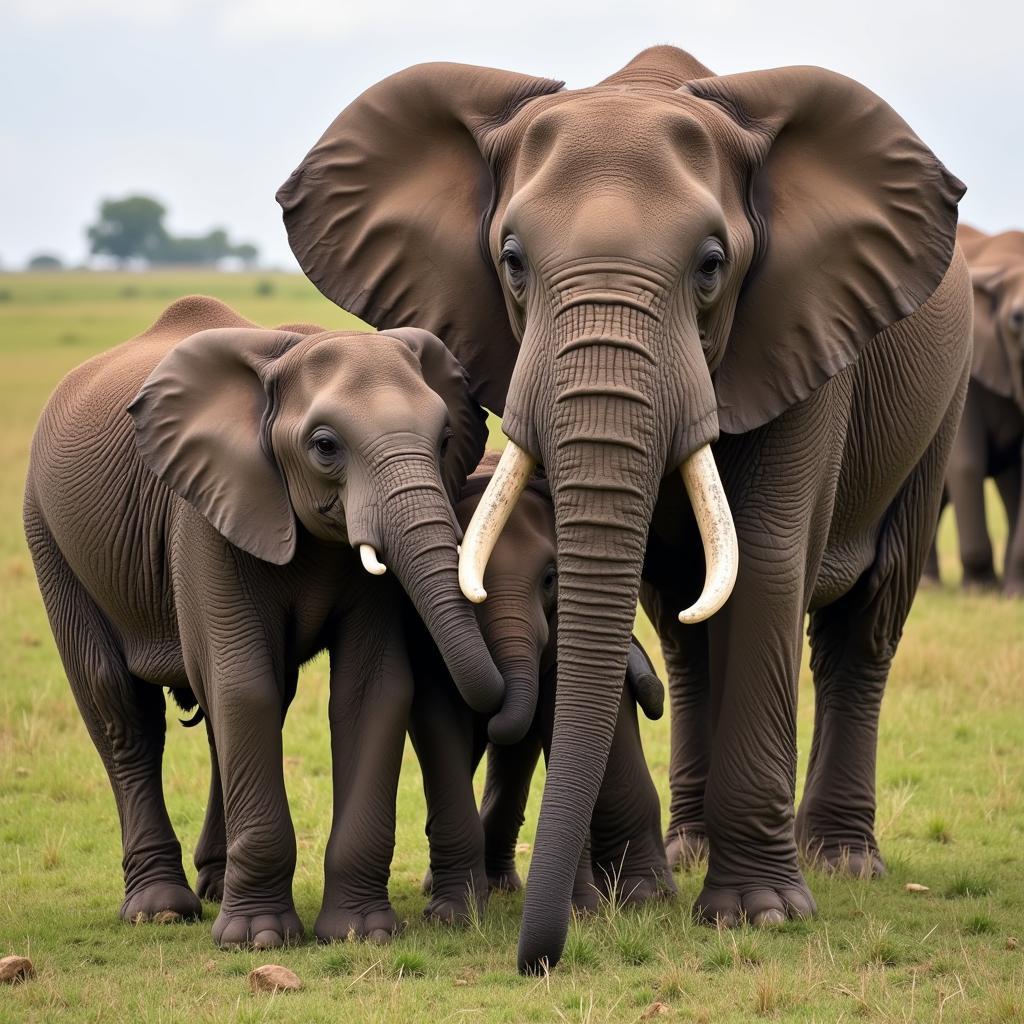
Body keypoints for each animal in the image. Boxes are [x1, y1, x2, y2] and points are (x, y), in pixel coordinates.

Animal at [23, 296, 503, 950]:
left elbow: (371, 691)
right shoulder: (202, 514)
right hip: (48, 532)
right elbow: (241, 684)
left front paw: (360, 934)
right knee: (119, 707)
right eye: (325, 446)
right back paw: (160, 910)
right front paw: (258, 939)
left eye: (446, 436)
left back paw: (215, 887)